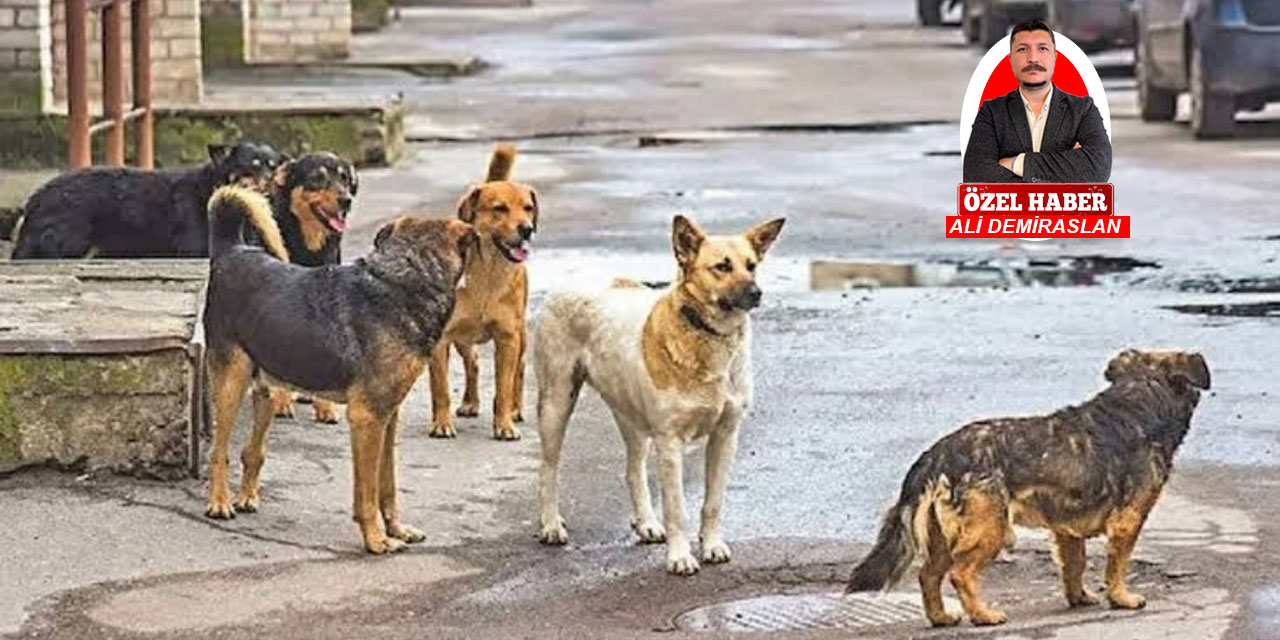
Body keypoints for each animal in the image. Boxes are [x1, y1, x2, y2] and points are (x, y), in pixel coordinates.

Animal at [10, 141, 285, 258]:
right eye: (253, 166)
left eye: (273, 166)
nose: (271, 183)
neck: (212, 188)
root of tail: (36, 198)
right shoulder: (194, 248)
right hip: (68, 245)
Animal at [424, 144, 535, 440]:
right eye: (499, 209)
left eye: (528, 208)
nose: (527, 229)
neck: (488, 271)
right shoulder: (441, 339)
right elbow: (440, 387)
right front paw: (441, 422)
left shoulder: (508, 338)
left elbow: (504, 387)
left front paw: (504, 424)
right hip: (462, 338)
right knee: (472, 362)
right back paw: (470, 402)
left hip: (521, 335)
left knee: (519, 370)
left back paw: (516, 409)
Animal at [527, 213, 778, 576]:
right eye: (722, 267)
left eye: (752, 265)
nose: (757, 293)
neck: (707, 337)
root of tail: (576, 280)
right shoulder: (670, 442)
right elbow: (677, 509)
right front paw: (680, 557)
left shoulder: (726, 436)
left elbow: (713, 502)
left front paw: (711, 545)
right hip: (556, 404)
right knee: (549, 468)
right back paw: (550, 525)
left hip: (630, 415)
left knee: (633, 470)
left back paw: (645, 522)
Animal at [849, 350, 1208, 624]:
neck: (1137, 402)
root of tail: (937, 454)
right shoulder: (1127, 521)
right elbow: (1117, 566)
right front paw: (1122, 598)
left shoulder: (1066, 530)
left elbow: (1073, 566)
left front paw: (1079, 597)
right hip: (990, 530)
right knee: (960, 574)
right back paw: (983, 615)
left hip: (942, 536)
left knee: (928, 575)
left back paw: (941, 618)